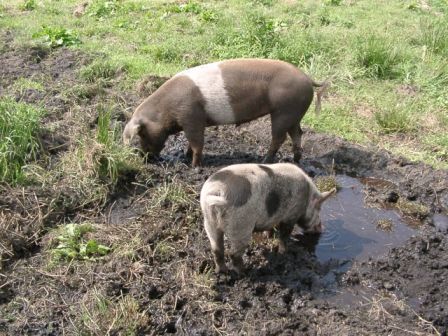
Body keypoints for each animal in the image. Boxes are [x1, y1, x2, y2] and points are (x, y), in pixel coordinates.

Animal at [122, 59, 328, 168]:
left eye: (142, 133)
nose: (143, 158)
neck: (166, 110)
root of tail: (308, 79)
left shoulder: (192, 117)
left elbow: (197, 143)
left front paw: (194, 166)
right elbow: (191, 143)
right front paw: (186, 158)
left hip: (283, 111)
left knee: (279, 137)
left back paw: (264, 161)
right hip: (293, 113)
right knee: (297, 133)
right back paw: (296, 160)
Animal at [200, 162, 336, 272]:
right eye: (319, 209)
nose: (321, 229)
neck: (307, 198)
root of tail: (217, 193)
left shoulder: (272, 217)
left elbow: (271, 228)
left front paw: (268, 237)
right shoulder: (291, 215)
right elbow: (284, 235)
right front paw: (283, 252)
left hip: (209, 221)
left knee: (217, 249)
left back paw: (222, 271)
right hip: (240, 225)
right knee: (233, 253)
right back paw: (243, 272)